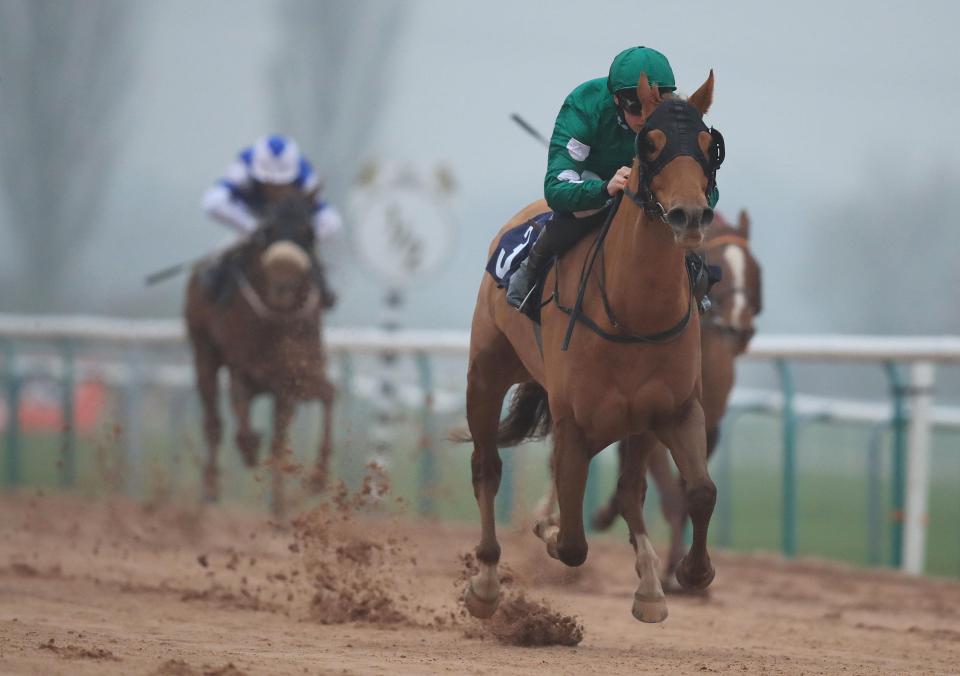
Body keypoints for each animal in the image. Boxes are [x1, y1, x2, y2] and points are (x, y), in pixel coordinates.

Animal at [186, 194, 336, 516]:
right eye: (267, 231)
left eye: (308, 232)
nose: (283, 285)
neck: (279, 321)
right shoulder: (245, 367)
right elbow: (242, 416)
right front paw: (249, 448)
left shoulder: (296, 375)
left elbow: (326, 396)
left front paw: (313, 482)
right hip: (203, 349)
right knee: (213, 419)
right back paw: (211, 488)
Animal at [464, 70, 720, 624]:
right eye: (650, 144)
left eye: (709, 145)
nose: (689, 216)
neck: (634, 313)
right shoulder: (574, 423)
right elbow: (572, 542)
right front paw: (548, 527)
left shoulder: (675, 409)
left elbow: (700, 490)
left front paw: (691, 573)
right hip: (486, 374)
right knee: (487, 468)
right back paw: (487, 583)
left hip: (635, 424)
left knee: (630, 491)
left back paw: (650, 585)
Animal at [588, 211, 760, 588]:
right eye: (719, 264)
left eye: (753, 268)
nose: (739, 327)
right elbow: (668, 494)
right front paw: (670, 571)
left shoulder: (705, 425)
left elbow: (691, 487)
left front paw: (687, 571)